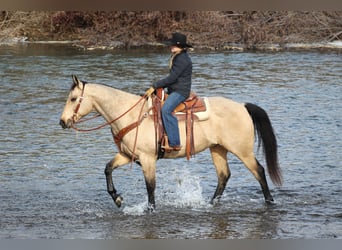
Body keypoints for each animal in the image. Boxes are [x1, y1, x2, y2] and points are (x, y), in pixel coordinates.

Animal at [59, 75, 284, 210]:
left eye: (73, 99)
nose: (62, 122)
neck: (132, 114)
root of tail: (242, 106)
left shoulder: (148, 158)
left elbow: (150, 186)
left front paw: (150, 209)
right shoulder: (126, 155)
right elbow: (107, 169)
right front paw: (117, 198)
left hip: (242, 150)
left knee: (259, 171)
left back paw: (270, 201)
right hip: (218, 149)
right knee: (224, 176)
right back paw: (211, 203)